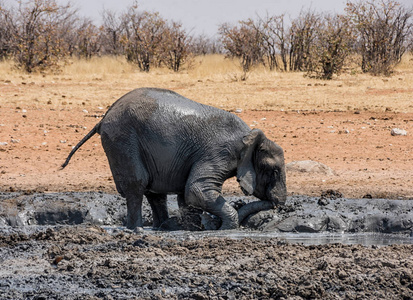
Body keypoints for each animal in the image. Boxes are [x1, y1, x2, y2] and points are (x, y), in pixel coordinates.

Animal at [61, 86, 286, 230]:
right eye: (273, 170)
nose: (278, 204)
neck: (248, 136)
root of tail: (104, 118)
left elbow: (186, 195)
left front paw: (196, 226)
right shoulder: (220, 152)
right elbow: (196, 190)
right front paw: (227, 228)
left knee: (155, 192)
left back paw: (163, 227)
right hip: (122, 139)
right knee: (137, 184)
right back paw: (137, 230)